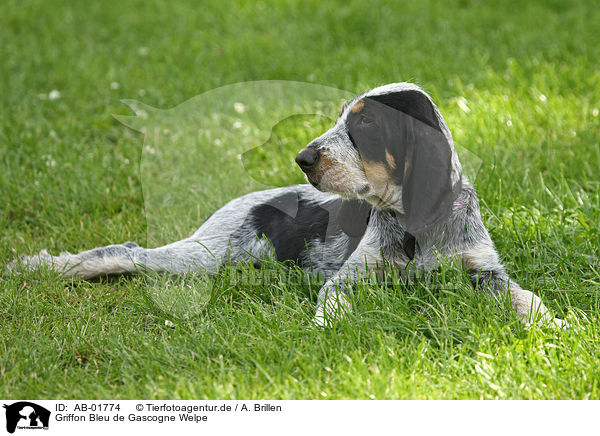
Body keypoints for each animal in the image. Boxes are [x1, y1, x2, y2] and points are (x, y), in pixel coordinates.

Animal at [9, 82, 564, 328]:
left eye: (364, 124)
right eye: (339, 118)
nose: (304, 158)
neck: (413, 227)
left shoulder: (483, 270)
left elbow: (524, 298)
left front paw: (558, 324)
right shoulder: (352, 276)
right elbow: (333, 302)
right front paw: (325, 331)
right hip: (200, 256)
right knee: (123, 252)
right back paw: (40, 266)